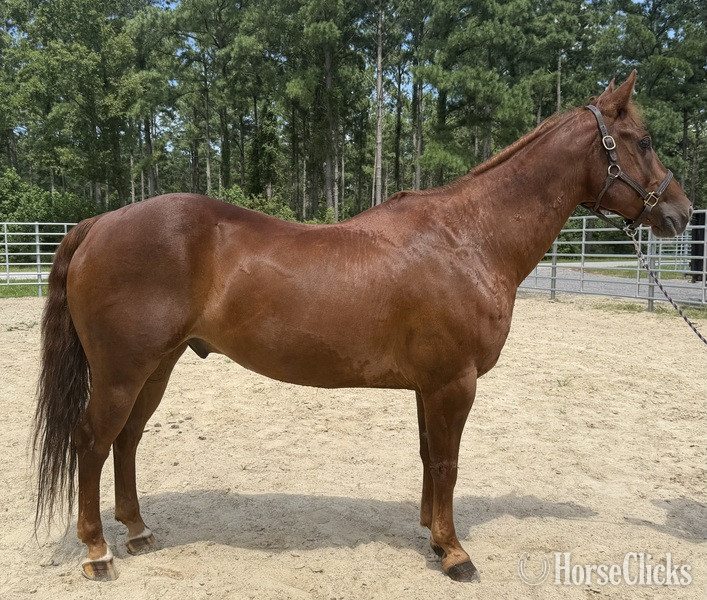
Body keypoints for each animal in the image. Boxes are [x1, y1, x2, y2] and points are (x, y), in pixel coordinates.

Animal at [33, 71, 691, 582]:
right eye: (643, 140)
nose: (681, 212)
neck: (470, 238)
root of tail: (100, 223)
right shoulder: (454, 382)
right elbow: (448, 462)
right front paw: (456, 555)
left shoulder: (431, 386)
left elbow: (430, 457)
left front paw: (432, 534)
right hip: (122, 372)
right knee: (92, 443)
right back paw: (97, 552)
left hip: (157, 366)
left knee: (126, 440)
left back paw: (138, 532)